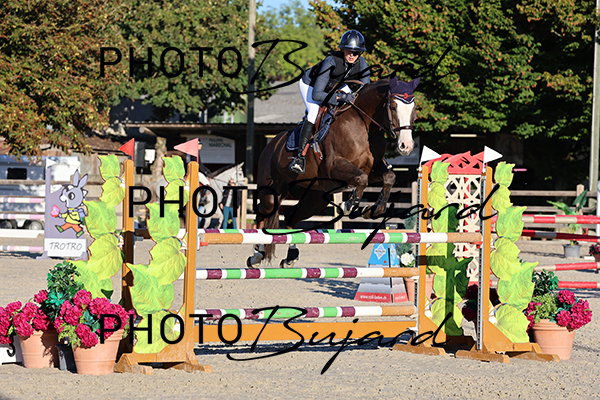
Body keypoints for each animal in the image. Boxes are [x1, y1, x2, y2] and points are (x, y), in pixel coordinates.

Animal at [247, 76, 420, 268]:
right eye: (393, 107)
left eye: (414, 108)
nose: (406, 146)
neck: (364, 125)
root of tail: (271, 144)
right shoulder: (334, 168)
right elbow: (362, 179)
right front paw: (349, 205)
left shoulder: (374, 168)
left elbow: (389, 177)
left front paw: (373, 210)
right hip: (272, 192)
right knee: (263, 214)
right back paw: (257, 255)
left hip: (315, 199)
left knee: (291, 216)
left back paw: (290, 257)